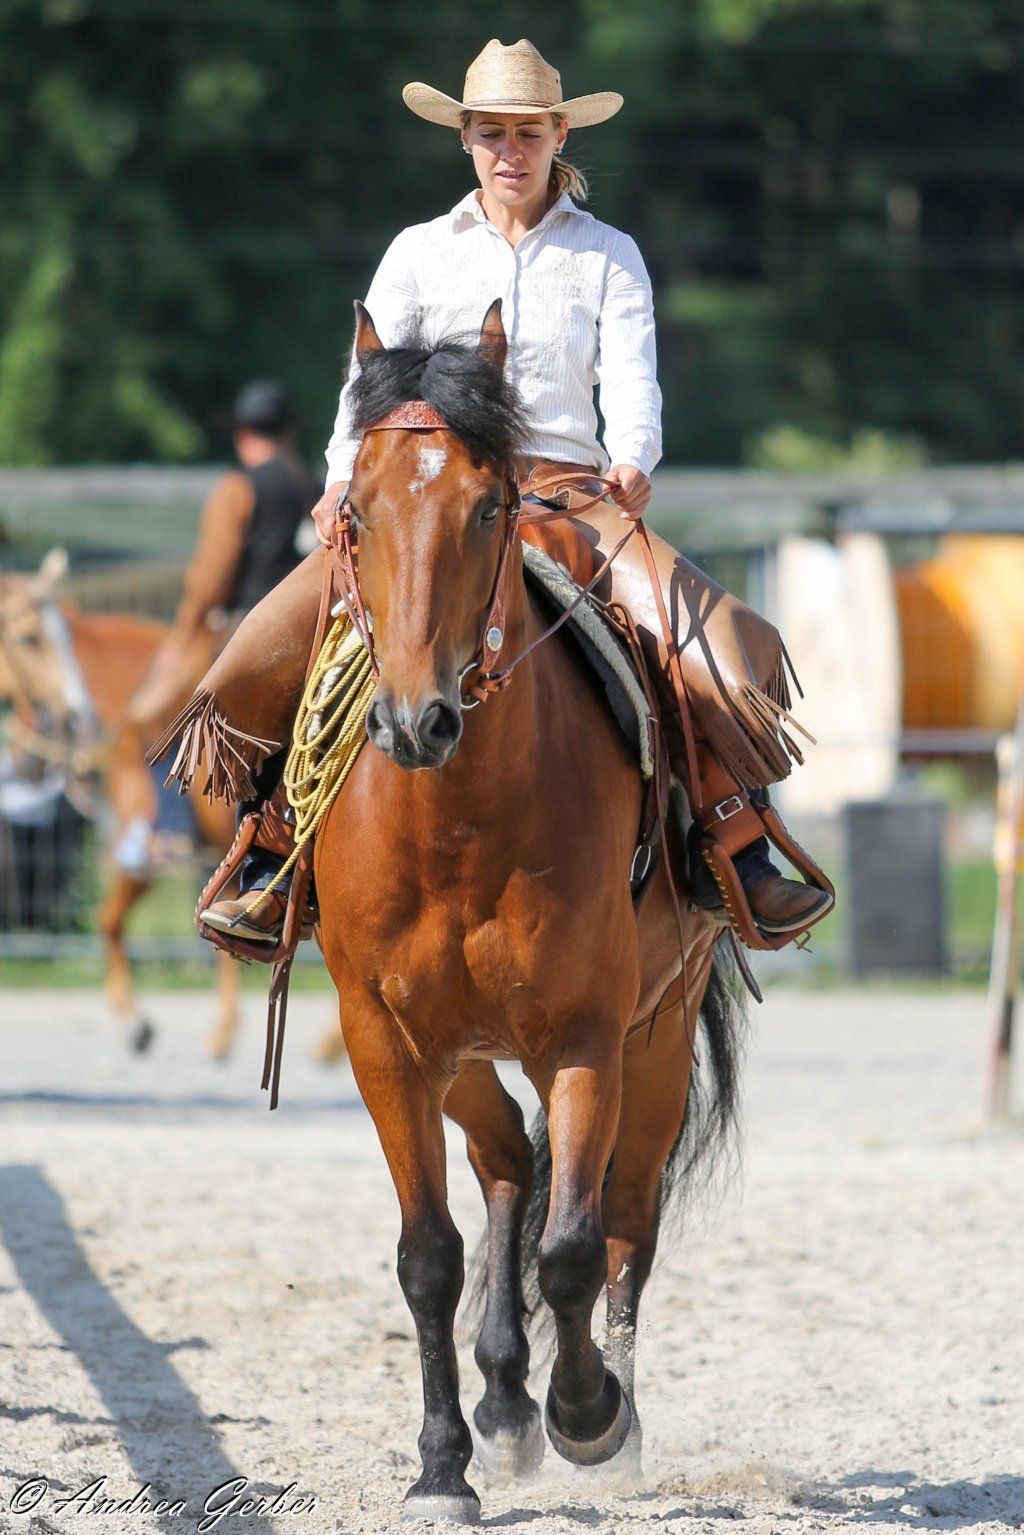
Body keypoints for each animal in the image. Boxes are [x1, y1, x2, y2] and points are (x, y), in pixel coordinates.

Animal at [311, 303, 743, 1522]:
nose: (416, 719)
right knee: (505, 1159)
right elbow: (428, 1253)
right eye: (356, 508)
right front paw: (440, 1465)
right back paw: (503, 1400)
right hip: (458, 1049)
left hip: (655, 1034)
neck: (459, 828)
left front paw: (589, 1414)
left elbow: (575, 1247)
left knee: (627, 1218)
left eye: (489, 505)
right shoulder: (382, 1036)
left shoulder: (587, 1036)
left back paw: (608, 1420)